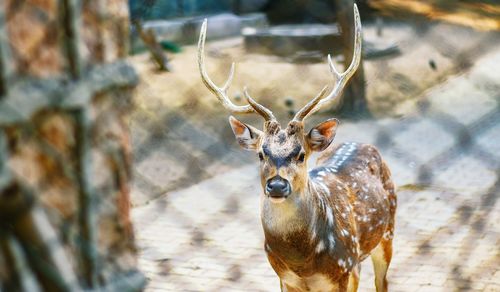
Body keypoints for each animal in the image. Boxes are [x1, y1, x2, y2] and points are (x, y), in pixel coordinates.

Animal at [197, 5, 396, 292]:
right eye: (261, 153)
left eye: (301, 155)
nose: (277, 185)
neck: (302, 263)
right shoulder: (284, 278)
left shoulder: (343, 269)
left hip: (387, 230)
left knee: (382, 280)